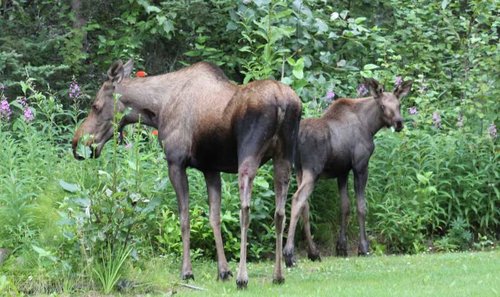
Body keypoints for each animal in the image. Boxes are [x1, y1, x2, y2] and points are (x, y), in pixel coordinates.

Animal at [72, 59, 300, 288]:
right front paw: (223, 270)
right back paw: (278, 275)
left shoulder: (176, 163)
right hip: (284, 158)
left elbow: (184, 218)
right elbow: (214, 218)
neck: (156, 110)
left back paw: (242, 277)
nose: (77, 144)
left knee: (245, 210)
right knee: (280, 212)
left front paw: (187, 271)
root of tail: (282, 101)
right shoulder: (210, 168)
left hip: (248, 156)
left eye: (95, 106)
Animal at [284, 77, 412, 264]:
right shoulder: (360, 165)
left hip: (299, 170)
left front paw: (341, 247)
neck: (370, 126)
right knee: (297, 199)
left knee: (304, 206)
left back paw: (313, 252)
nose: (399, 123)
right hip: (312, 170)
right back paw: (289, 255)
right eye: (382, 106)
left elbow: (344, 206)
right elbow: (361, 207)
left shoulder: (342, 171)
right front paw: (363, 247)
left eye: (399, 104)